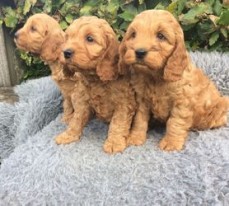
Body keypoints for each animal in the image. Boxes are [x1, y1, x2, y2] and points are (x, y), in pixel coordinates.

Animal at [54, 16, 136, 154]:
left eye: (89, 39)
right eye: (68, 38)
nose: (66, 52)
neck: (96, 80)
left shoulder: (124, 103)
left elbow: (118, 123)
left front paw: (114, 142)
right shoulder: (82, 100)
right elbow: (77, 119)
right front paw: (69, 135)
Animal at [119, 9, 228, 151]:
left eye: (161, 36)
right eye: (133, 34)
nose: (140, 52)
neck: (155, 77)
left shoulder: (182, 102)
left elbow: (175, 122)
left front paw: (171, 142)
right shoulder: (142, 100)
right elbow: (140, 120)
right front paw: (135, 137)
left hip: (222, 104)